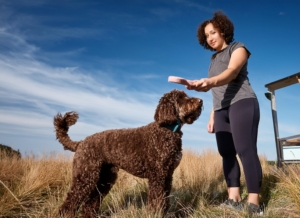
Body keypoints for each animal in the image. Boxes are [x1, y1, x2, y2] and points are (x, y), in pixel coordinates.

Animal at [54, 89, 204, 217]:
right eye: (180, 98)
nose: (201, 101)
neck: (167, 130)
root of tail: (80, 143)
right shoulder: (157, 175)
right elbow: (156, 201)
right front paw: (155, 214)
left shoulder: (167, 175)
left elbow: (164, 200)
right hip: (85, 176)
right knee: (71, 201)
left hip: (105, 177)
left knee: (91, 202)